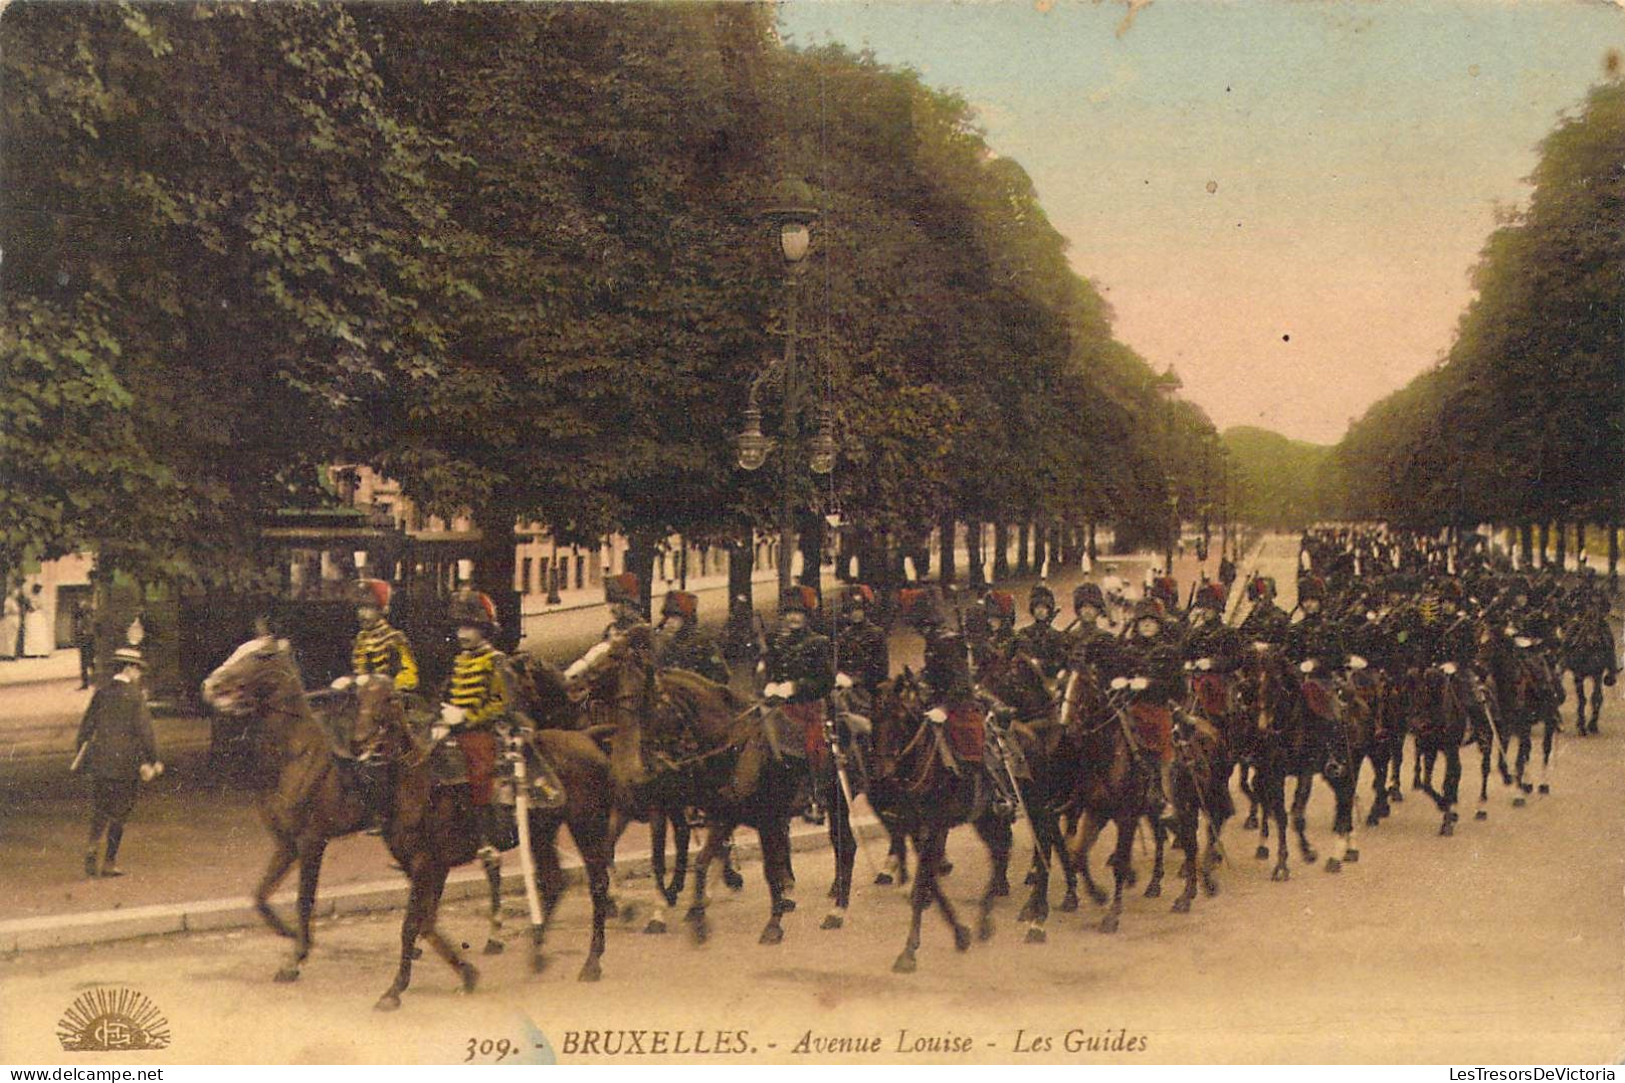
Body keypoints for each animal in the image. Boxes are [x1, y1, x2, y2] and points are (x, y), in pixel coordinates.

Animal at [565, 624, 806, 943]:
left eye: (612, 654)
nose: (570, 678)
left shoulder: (658, 809)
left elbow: (657, 860)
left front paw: (656, 914)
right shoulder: (623, 808)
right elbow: (606, 851)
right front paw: (623, 904)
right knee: (697, 839)